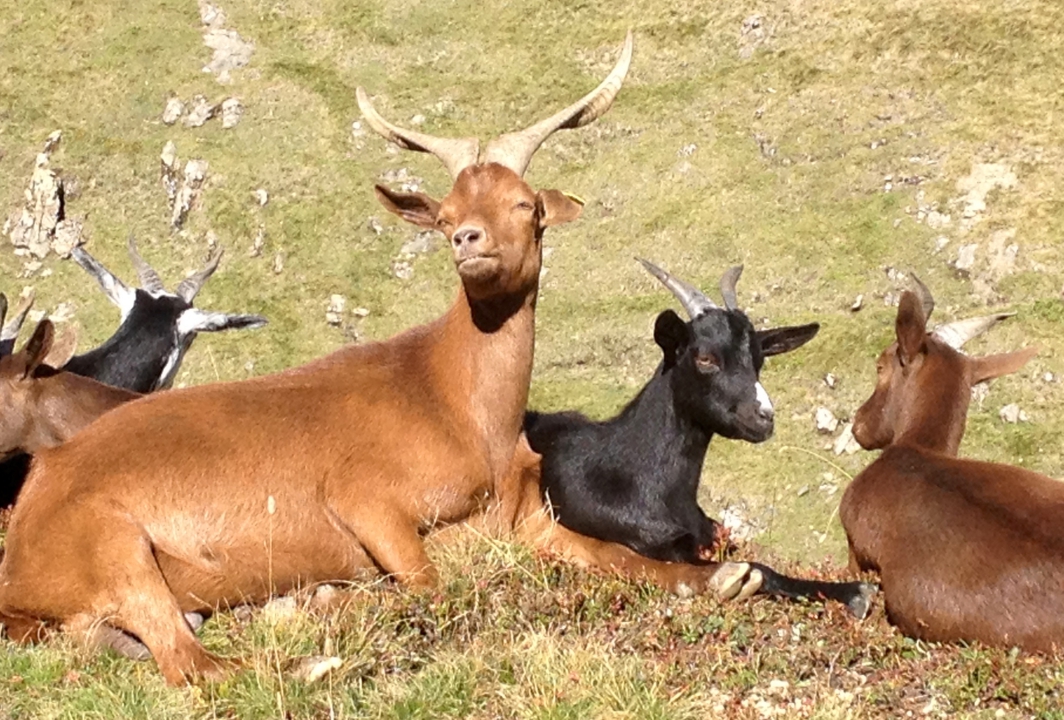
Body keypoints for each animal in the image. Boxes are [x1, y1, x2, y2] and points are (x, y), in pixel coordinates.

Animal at [521, 261, 872, 616]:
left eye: (759, 359)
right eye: (705, 358)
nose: (764, 416)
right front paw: (855, 592)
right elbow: (758, 568)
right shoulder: (655, 547)